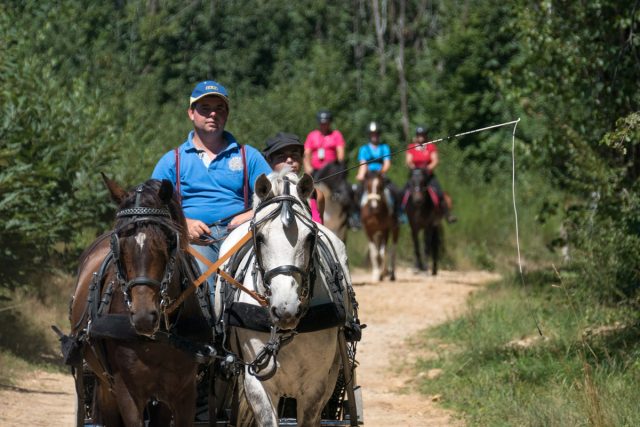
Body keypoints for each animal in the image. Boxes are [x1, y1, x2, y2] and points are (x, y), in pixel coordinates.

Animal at [66, 176, 214, 426]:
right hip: (103, 383)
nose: (144, 317)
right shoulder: (126, 390)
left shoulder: (184, 392)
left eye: (168, 240)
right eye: (117, 244)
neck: (159, 337)